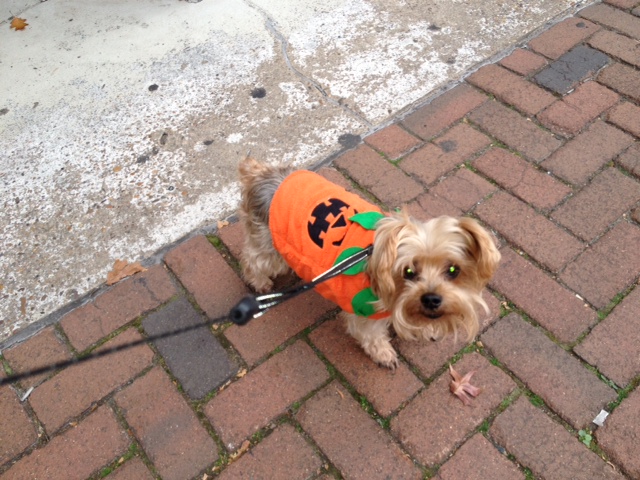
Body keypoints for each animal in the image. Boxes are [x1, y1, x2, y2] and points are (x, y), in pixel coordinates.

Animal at [238, 157, 502, 368]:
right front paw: (383, 353)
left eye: (453, 270)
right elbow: (371, 335)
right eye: (408, 271)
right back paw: (259, 282)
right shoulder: (364, 312)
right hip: (271, 244)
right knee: (253, 258)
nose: (431, 299)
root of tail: (261, 175)